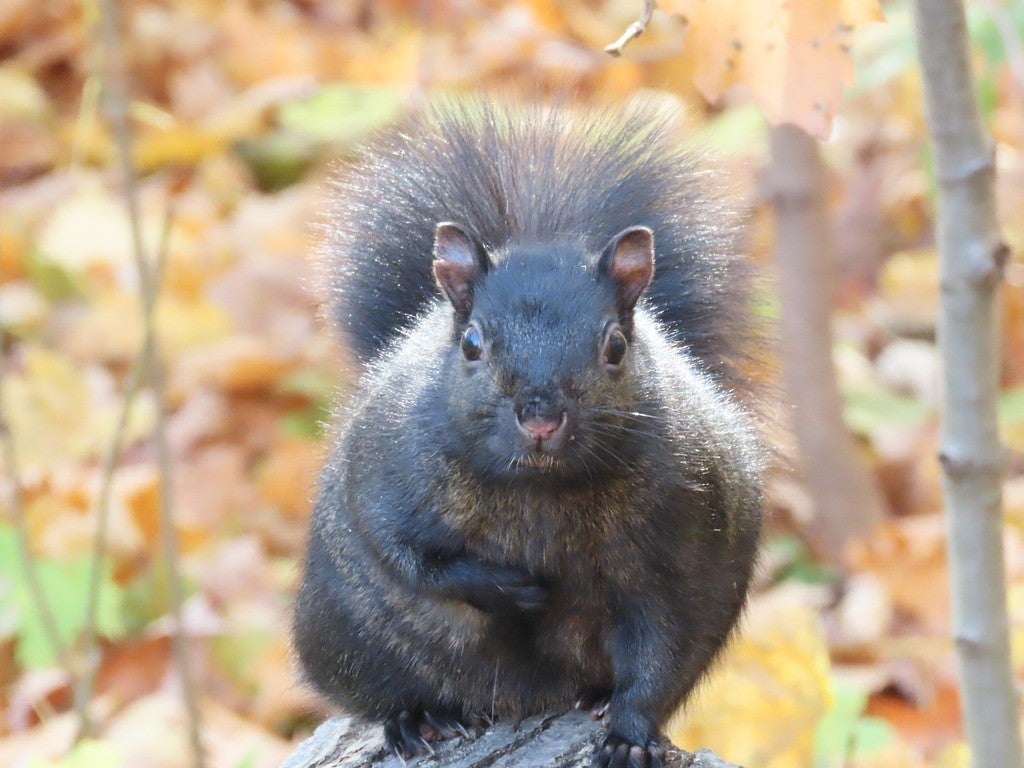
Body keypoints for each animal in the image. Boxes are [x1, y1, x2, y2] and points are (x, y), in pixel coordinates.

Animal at [293, 101, 765, 768]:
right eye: (471, 343)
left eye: (615, 346)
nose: (541, 418)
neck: (540, 492)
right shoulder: (382, 476)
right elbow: (408, 556)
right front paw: (505, 587)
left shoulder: (681, 544)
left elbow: (660, 651)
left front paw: (630, 734)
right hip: (348, 637)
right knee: (384, 688)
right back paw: (417, 718)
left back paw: (596, 699)